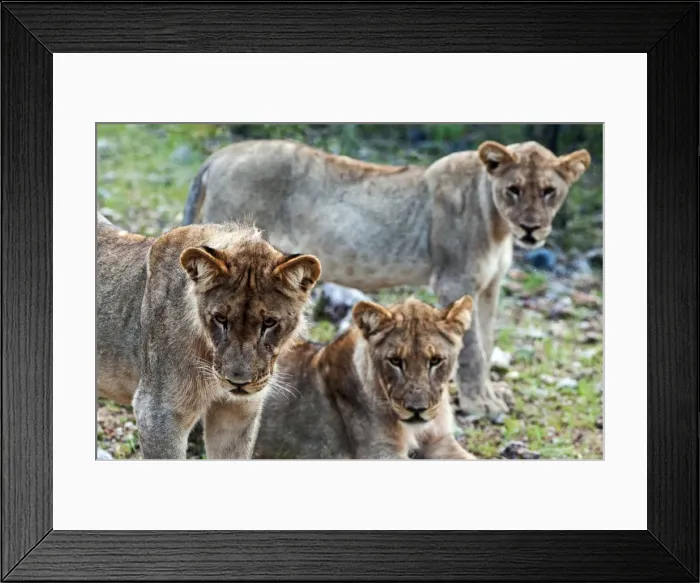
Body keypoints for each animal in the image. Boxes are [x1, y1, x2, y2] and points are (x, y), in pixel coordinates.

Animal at [183, 139, 590, 419]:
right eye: (514, 189)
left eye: (549, 191)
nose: (532, 229)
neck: (497, 222)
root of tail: (218, 156)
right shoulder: (456, 281)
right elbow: (473, 349)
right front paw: (480, 404)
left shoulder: (490, 288)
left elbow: (487, 344)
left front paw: (490, 395)